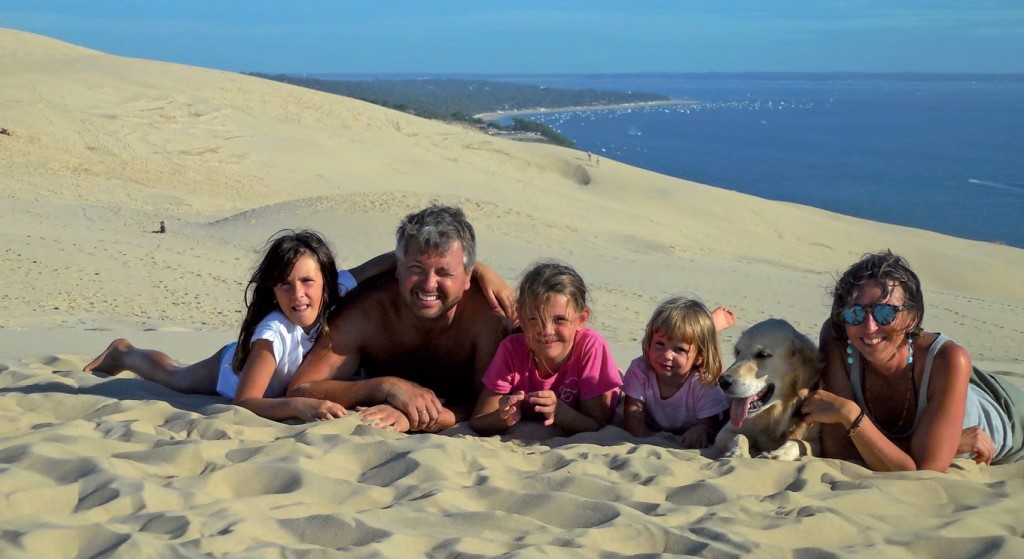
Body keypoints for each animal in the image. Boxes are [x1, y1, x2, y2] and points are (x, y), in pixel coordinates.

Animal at [712, 315, 823, 458]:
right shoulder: (725, 432)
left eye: (762, 355)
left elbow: (796, 443)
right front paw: (738, 453)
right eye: (737, 352)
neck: (777, 414)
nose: (722, 381)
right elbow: (740, 436)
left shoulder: (817, 443)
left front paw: (777, 454)